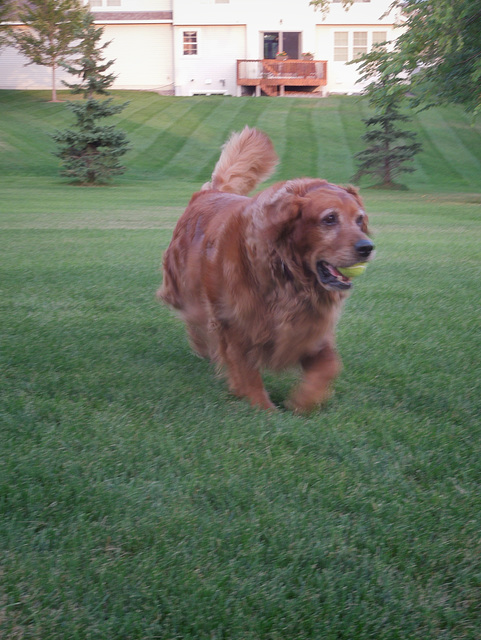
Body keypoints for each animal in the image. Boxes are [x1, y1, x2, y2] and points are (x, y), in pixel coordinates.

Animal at [158, 127, 372, 412]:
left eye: (359, 220)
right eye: (329, 219)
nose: (367, 247)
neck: (287, 276)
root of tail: (209, 192)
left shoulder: (310, 328)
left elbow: (329, 365)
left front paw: (304, 401)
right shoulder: (236, 323)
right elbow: (247, 370)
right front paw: (262, 407)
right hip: (185, 286)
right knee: (194, 317)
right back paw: (203, 346)